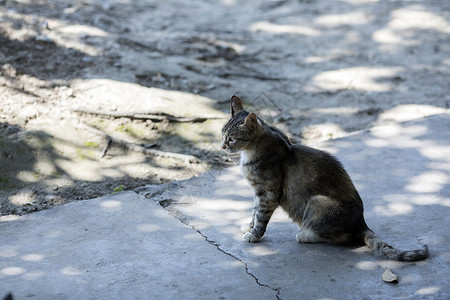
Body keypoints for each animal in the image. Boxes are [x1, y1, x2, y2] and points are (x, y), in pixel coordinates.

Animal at [221, 95, 428, 262]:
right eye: (222, 134)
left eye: (232, 139)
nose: (222, 146)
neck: (252, 153)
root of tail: (361, 222)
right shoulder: (258, 193)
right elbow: (254, 212)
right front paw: (249, 226)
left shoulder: (268, 194)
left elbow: (261, 216)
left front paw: (255, 235)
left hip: (317, 203)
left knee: (337, 237)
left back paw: (305, 235)